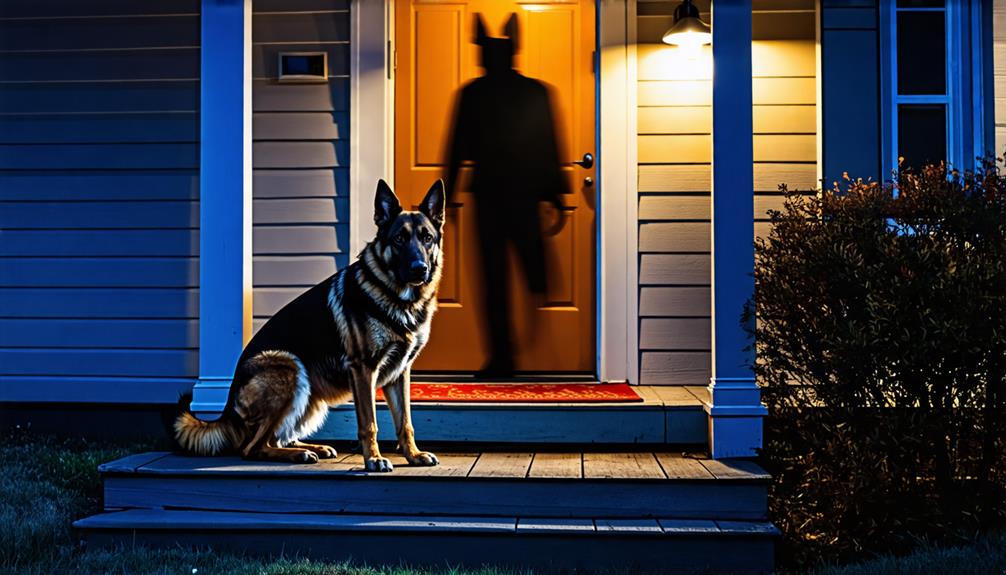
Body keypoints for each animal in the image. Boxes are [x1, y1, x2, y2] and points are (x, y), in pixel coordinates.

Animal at [175, 179, 442, 472]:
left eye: (427, 238)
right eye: (399, 239)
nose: (420, 268)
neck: (400, 298)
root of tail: (229, 402)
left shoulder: (400, 373)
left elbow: (406, 422)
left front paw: (413, 455)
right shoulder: (363, 370)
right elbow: (369, 423)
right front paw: (373, 459)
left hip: (311, 398)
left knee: (278, 437)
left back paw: (313, 448)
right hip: (289, 368)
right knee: (252, 447)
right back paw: (298, 454)